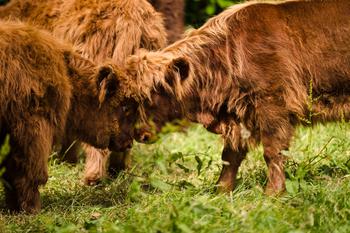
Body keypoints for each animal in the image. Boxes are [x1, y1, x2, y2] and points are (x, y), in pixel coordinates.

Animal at [117, 0, 350, 195]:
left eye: (149, 97)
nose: (139, 134)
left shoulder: (271, 104)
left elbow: (272, 151)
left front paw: (273, 193)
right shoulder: (239, 115)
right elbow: (230, 156)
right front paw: (220, 191)